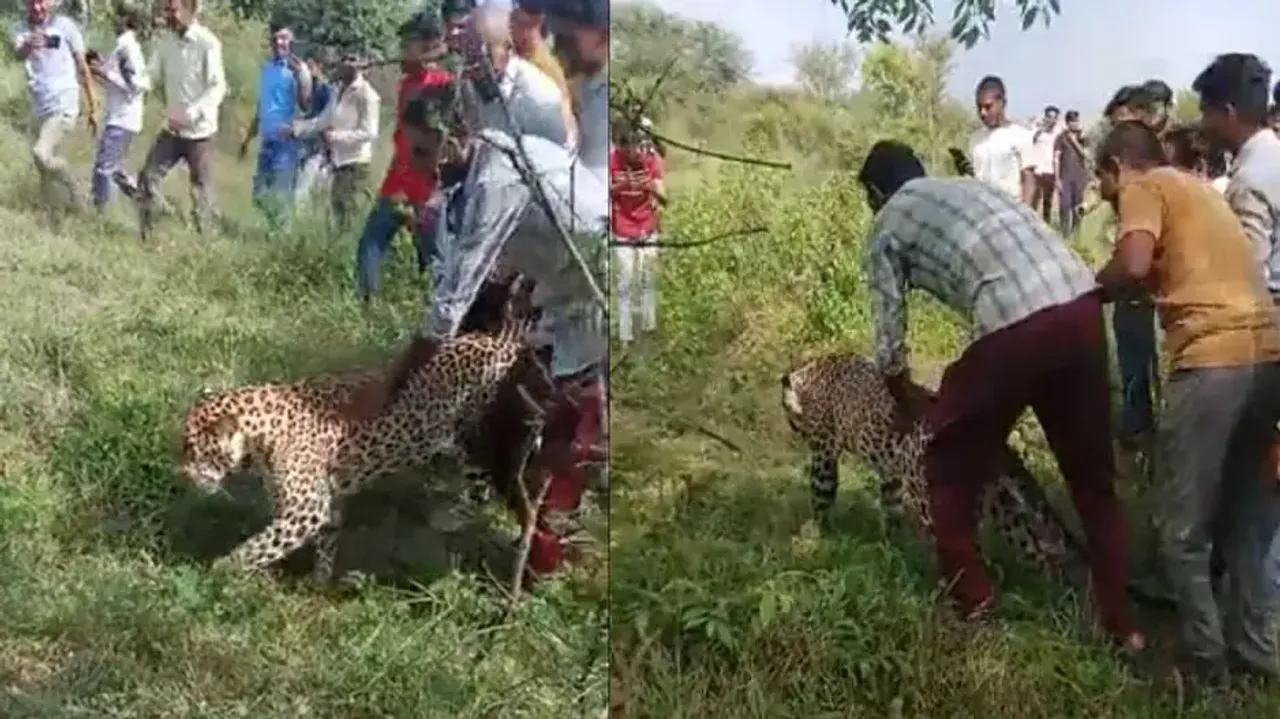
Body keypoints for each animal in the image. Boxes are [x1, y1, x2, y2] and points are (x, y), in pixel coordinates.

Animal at [178, 278, 556, 586]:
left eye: (195, 450)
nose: (182, 474)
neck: (259, 435)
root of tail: (500, 340)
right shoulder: (326, 503)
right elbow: (324, 542)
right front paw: (318, 583)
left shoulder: (305, 509)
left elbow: (258, 545)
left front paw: (220, 572)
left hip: (482, 439)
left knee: (494, 484)